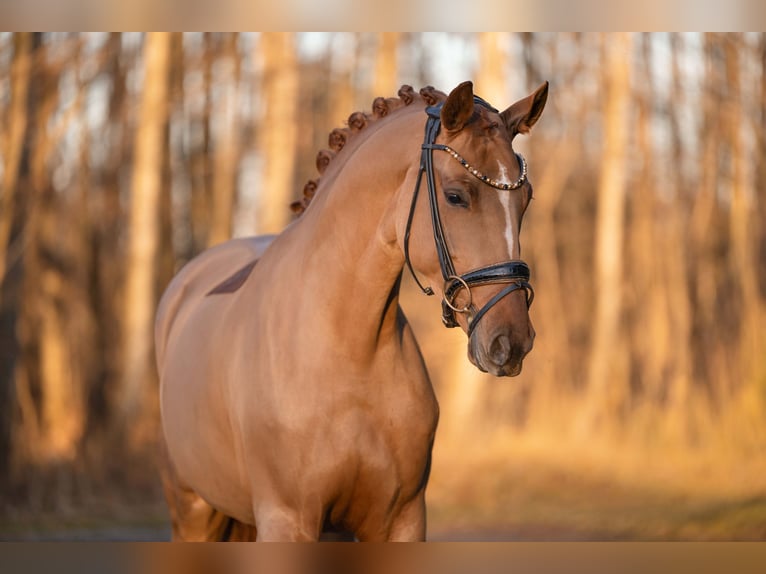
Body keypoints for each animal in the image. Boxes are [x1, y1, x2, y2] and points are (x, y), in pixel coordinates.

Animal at [155, 80, 548, 541]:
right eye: (455, 196)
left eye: (526, 199)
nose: (511, 341)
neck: (350, 353)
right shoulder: (286, 519)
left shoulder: (402, 520)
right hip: (192, 511)